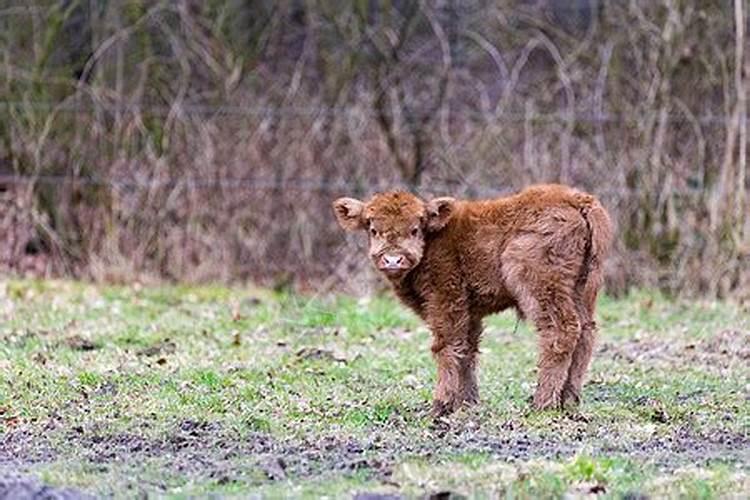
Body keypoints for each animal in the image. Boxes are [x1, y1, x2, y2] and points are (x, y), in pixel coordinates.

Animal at [332, 186, 612, 416]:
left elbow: (445, 347)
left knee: (560, 331)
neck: (435, 238)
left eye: (415, 228)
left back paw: (542, 403)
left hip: (541, 285)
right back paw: (569, 400)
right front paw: (467, 402)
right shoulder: (470, 312)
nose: (392, 259)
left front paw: (441, 405)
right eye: (373, 229)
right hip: (582, 291)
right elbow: (466, 350)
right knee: (586, 334)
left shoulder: (446, 300)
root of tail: (576, 199)